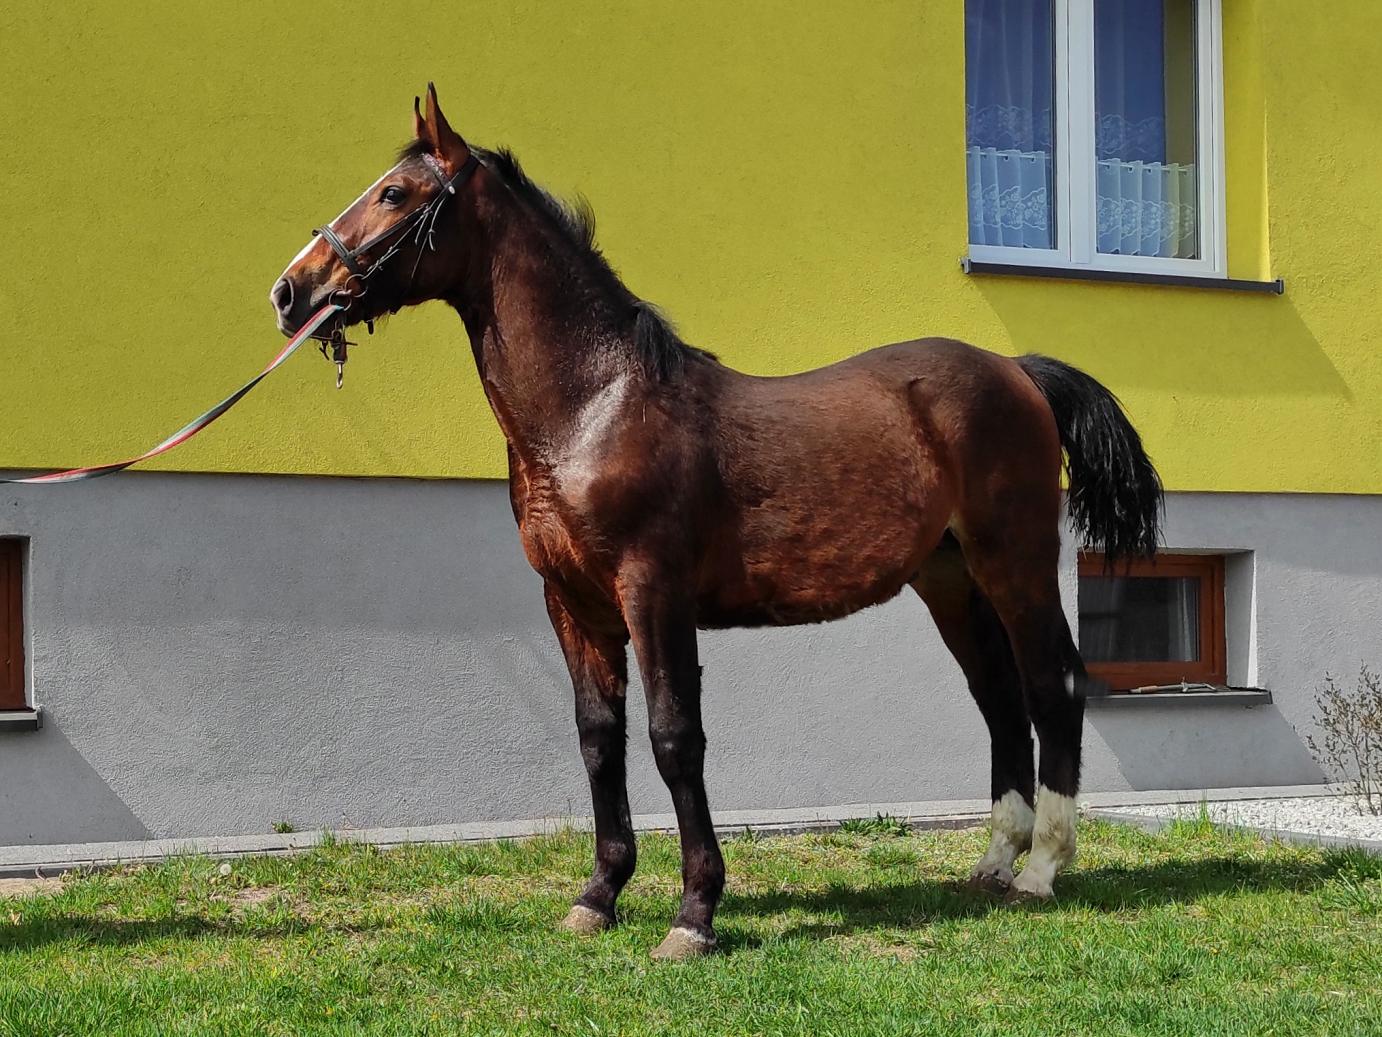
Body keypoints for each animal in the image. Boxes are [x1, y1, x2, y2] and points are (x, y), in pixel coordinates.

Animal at [271, 85, 1162, 960]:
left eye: (395, 194)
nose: (291, 291)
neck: (597, 407)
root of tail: (1017, 370)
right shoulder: (573, 603)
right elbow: (599, 737)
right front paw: (598, 895)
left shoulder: (653, 592)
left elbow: (674, 737)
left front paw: (694, 912)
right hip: (949, 579)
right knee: (1000, 697)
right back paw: (994, 861)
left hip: (1015, 561)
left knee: (1054, 684)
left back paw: (1042, 868)